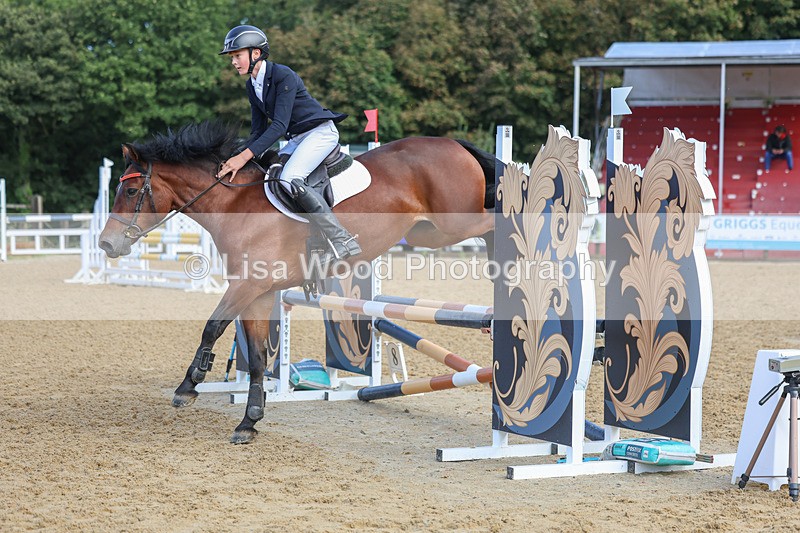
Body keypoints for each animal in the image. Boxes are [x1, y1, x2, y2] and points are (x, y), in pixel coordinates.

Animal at [99, 121, 496, 444]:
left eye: (131, 192)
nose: (106, 244)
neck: (235, 203)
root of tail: (454, 144)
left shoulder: (245, 287)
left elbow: (212, 326)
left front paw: (188, 387)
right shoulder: (258, 293)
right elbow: (258, 357)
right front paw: (249, 422)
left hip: (455, 223)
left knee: (495, 219)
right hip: (428, 232)